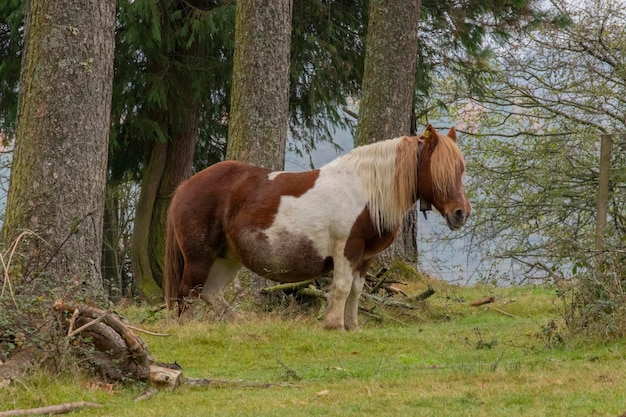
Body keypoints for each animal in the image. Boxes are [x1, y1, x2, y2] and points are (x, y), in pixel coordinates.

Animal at [165, 122, 468, 328]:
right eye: (439, 171)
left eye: (461, 169)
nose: (461, 213)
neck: (365, 191)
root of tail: (185, 186)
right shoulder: (347, 250)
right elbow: (342, 287)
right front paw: (333, 325)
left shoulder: (365, 258)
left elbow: (356, 290)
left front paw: (352, 327)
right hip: (200, 258)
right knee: (187, 294)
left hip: (226, 259)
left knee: (209, 293)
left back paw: (238, 323)